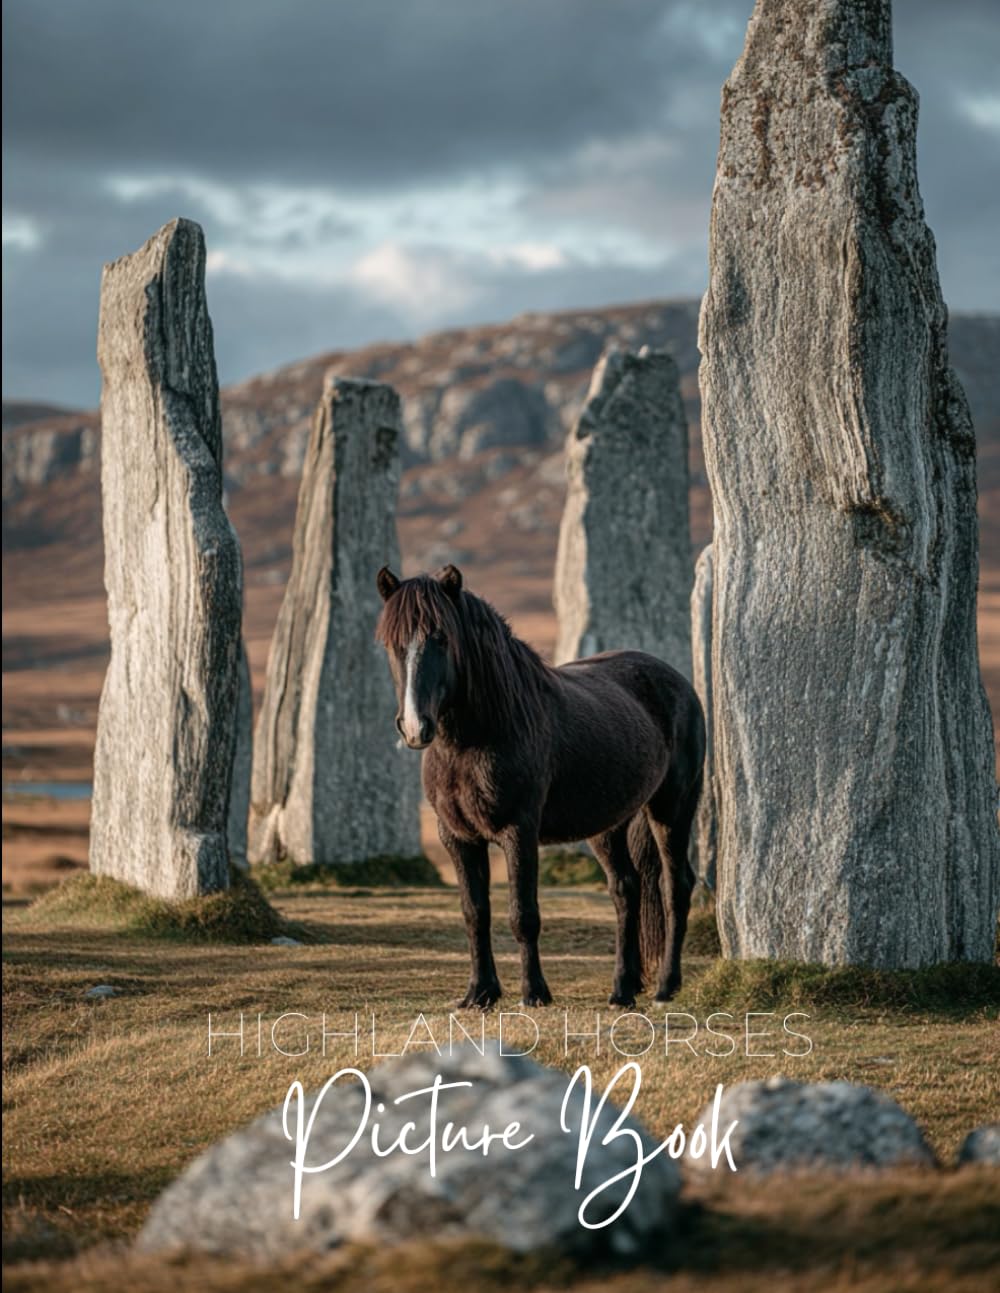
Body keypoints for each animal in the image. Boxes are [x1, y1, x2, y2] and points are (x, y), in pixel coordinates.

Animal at [375, 563, 705, 1010]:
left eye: (441, 638)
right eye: (392, 643)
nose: (414, 727)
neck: (479, 735)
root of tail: (677, 682)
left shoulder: (519, 831)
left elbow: (523, 915)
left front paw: (534, 993)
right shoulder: (458, 837)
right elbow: (474, 913)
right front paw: (479, 993)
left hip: (672, 808)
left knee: (675, 887)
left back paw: (666, 986)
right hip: (609, 826)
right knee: (626, 889)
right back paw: (622, 990)